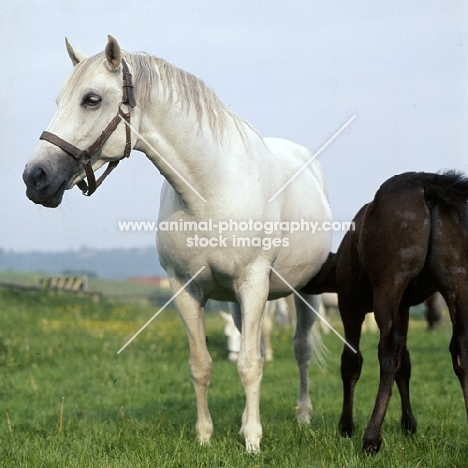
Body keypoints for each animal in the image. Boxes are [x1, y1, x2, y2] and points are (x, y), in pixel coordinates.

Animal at [22, 34, 332, 452]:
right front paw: (205, 436)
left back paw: (302, 415)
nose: (35, 177)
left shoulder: (253, 284)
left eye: (91, 99)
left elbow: (251, 364)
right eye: (59, 101)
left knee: (301, 349)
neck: (210, 192)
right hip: (237, 302)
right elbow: (201, 365)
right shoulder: (185, 289)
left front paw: (253, 440)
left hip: (305, 293)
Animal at [302, 170, 468, 452]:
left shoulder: (349, 302)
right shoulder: (404, 307)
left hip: (389, 283)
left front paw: (346, 426)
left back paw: (371, 437)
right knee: (460, 347)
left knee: (388, 350)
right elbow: (406, 362)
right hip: (456, 278)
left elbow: (351, 360)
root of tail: (428, 185)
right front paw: (409, 424)